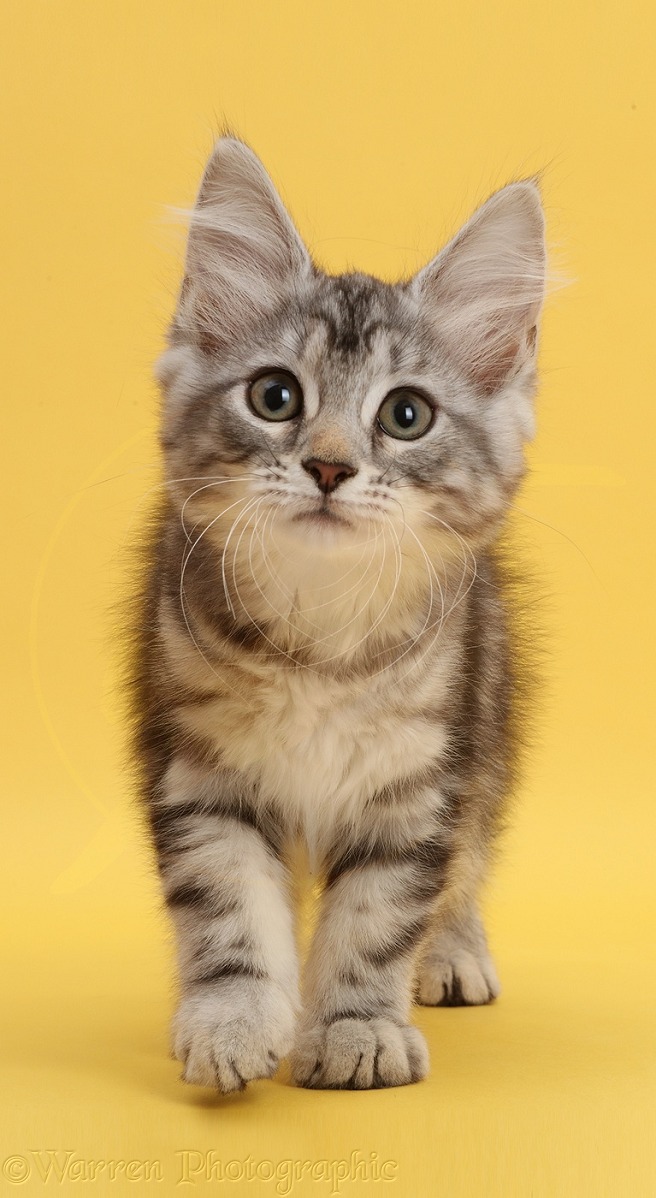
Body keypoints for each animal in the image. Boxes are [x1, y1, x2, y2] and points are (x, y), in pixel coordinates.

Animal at [129, 135, 548, 1092]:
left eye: (406, 415)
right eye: (275, 397)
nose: (327, 467)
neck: (319, 642)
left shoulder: (420, 781)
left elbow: (376, 918)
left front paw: (357, 1027)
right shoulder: (202, 769)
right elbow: (231, 909)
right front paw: (232, 1020)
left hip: (489, 732)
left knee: (469, 861)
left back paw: (453, 953)